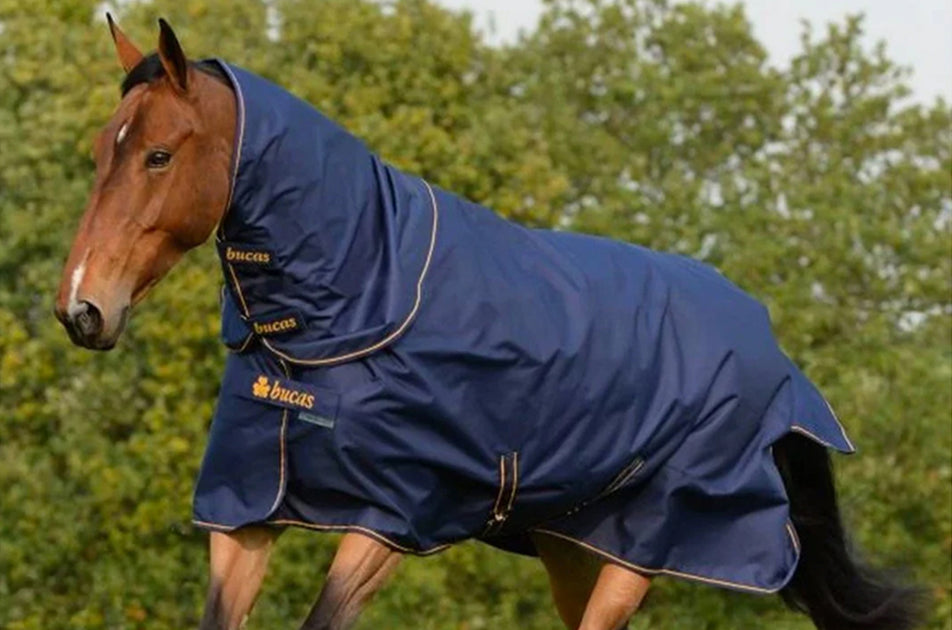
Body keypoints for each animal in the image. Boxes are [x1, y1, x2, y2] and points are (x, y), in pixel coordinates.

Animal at [54, 17, 922, 630]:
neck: (351, 302)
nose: (81, 307)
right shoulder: (244, 513)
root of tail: (766, 339)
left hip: (648, 549)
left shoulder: (390, 519)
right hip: (575, 546)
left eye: (159, 155)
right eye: (100, 149)